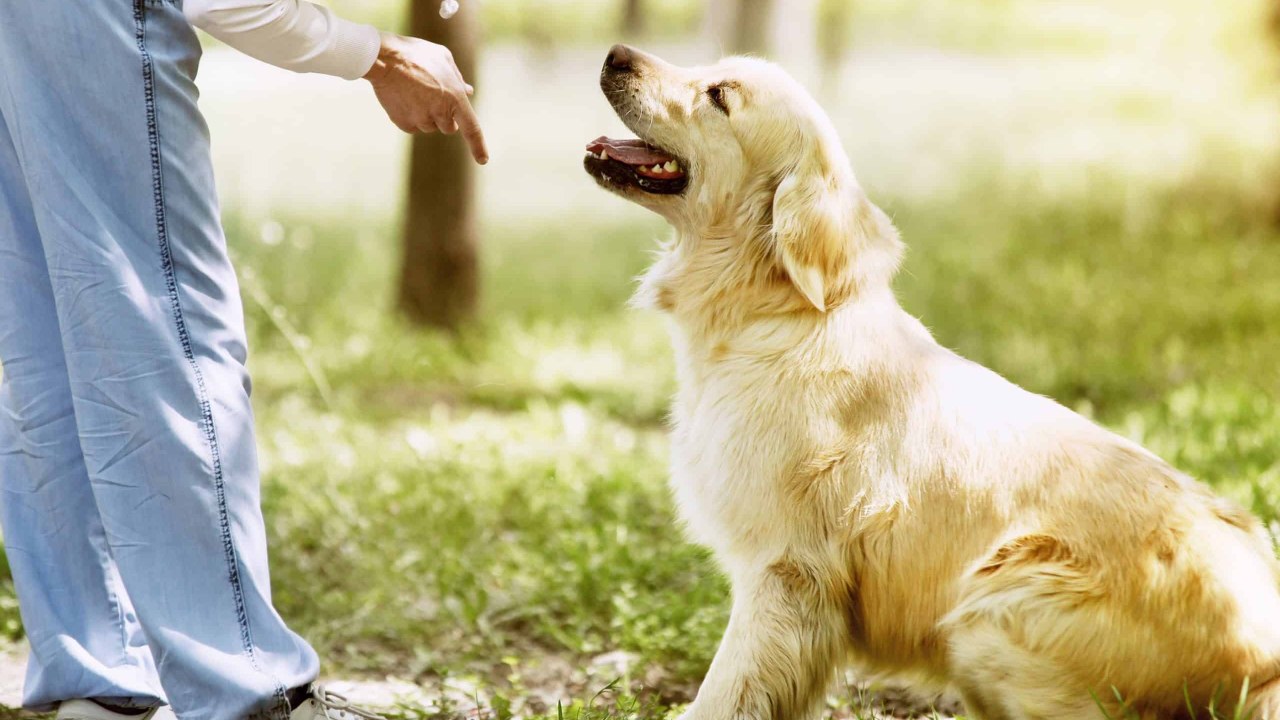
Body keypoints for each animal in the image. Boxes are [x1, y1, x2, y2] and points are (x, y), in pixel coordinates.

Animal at [586, 46, 1280, 717]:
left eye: (719, 96)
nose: (616, 54)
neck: (775, 315)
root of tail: (1264, 663)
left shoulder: (785, 572)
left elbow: (726, 690)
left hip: (991, 609)